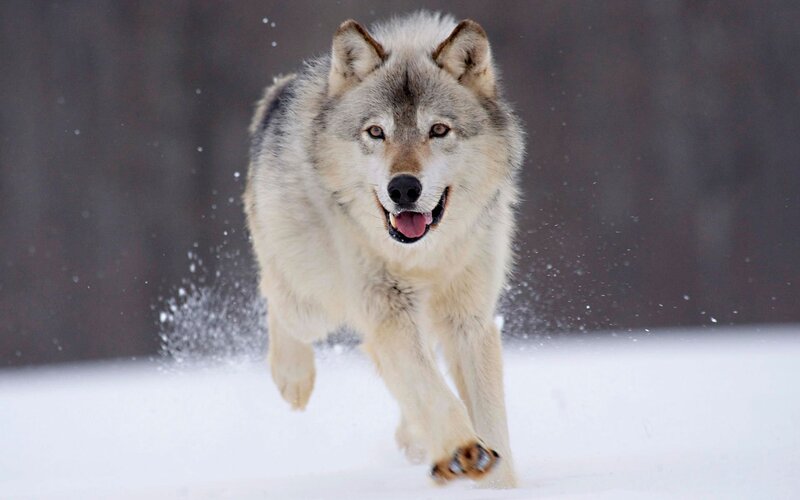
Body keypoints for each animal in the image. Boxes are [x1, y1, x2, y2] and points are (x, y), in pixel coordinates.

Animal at [244, 11, 524, 487]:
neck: (424, 257)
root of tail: (279, 92)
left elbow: (489, 418)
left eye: (438, 130)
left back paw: (415, 440)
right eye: (376, 132)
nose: (404, 188)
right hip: (313, 302)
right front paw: (462, 449)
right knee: (277, 300)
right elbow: (433, 390)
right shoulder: (388, 309)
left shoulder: (469, 320)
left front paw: (496, 481)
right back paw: (293, 379)